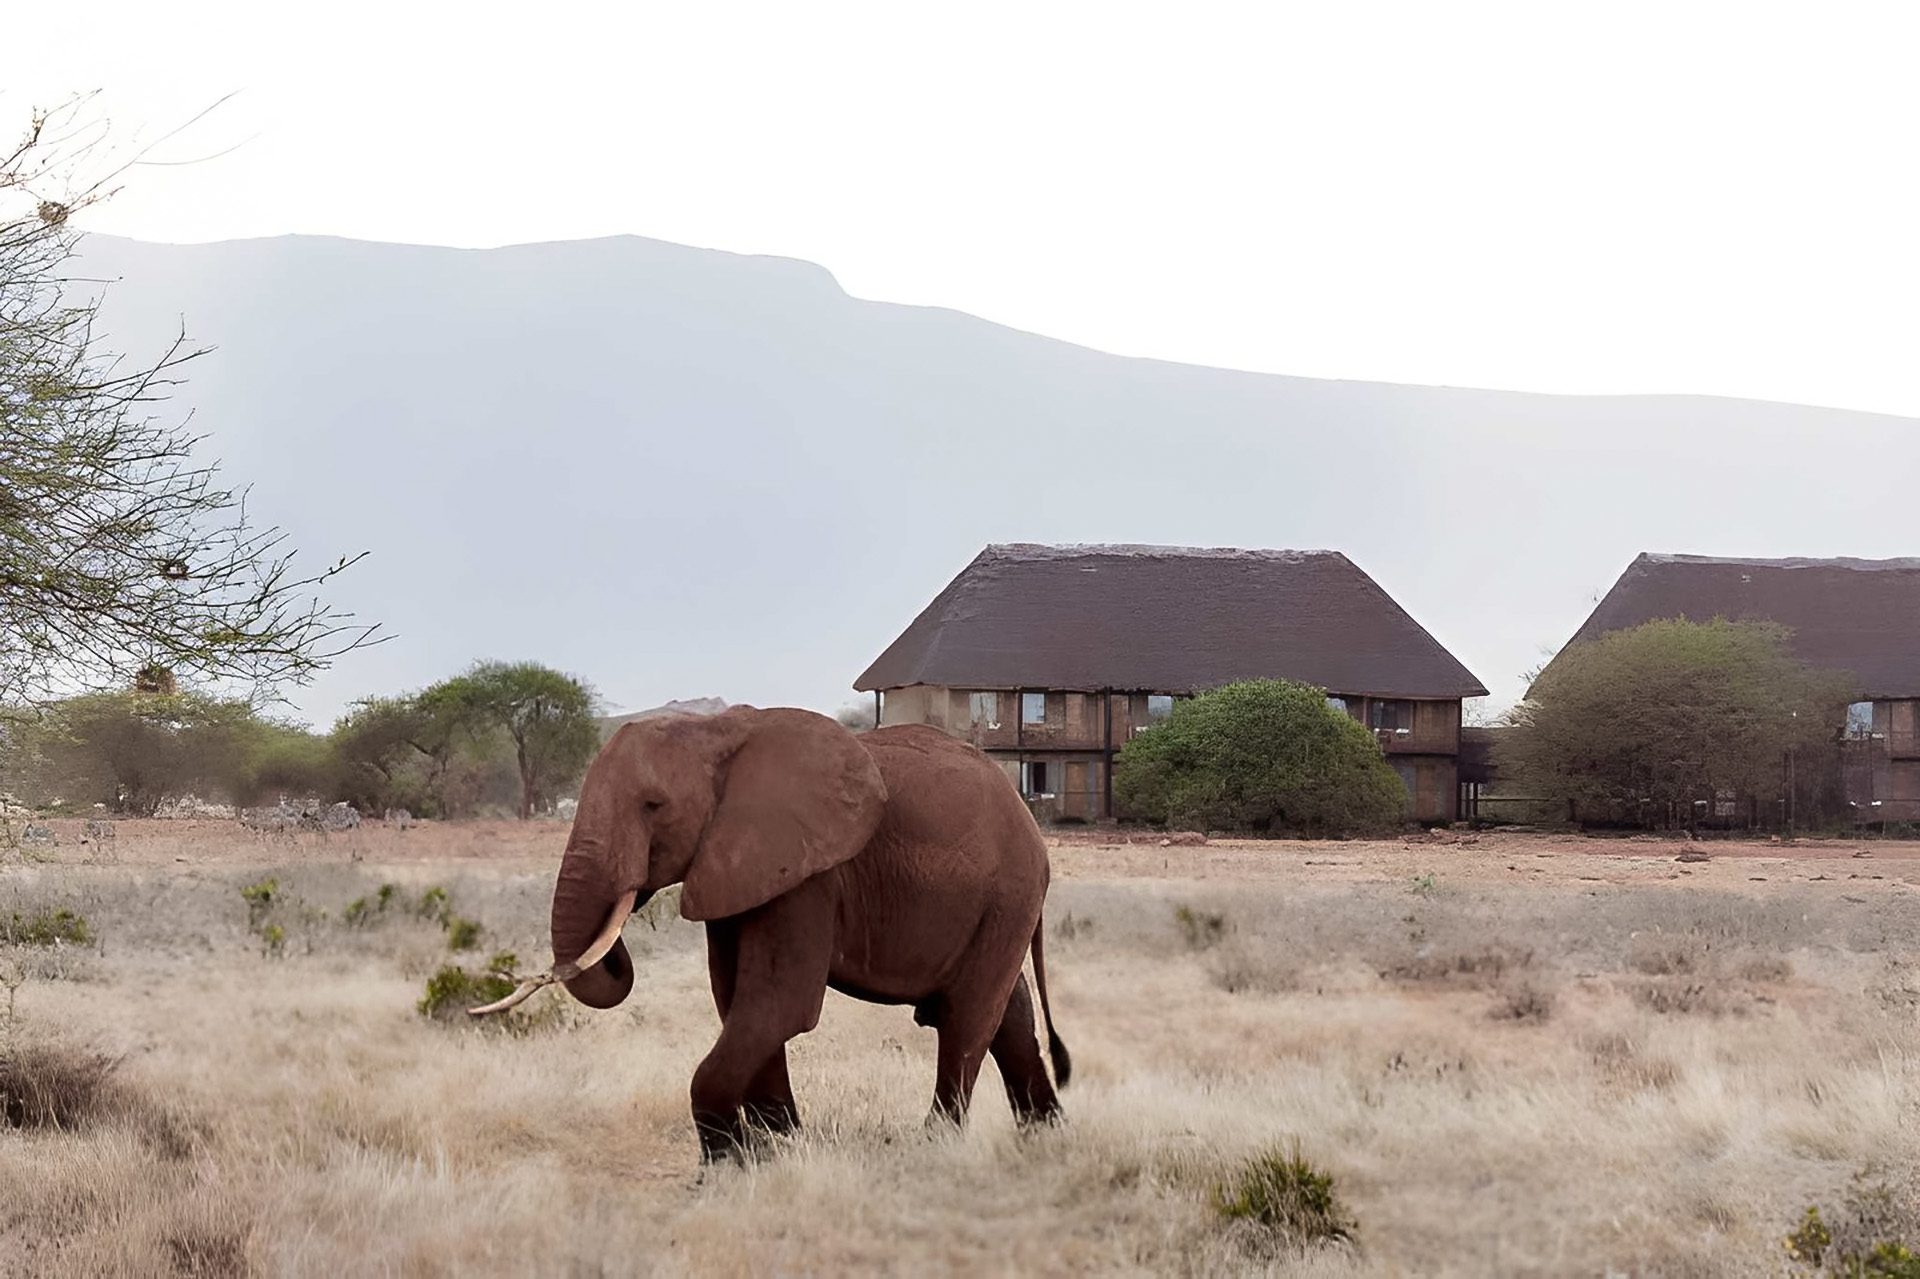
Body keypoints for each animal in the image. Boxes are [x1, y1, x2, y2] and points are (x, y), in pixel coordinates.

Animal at [472, 706, 1070, 1162]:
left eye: (653, 806)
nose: (618, 941)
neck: (718, 733)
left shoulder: (807, 875)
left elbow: (779, 1004)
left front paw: (727, 1163)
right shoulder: (734, 866)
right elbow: (736, 998)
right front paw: (779, 1144)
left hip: (1009, 894)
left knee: (967, 1017)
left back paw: (933, 1145)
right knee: (1008, 1012)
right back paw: (1047, 1135)